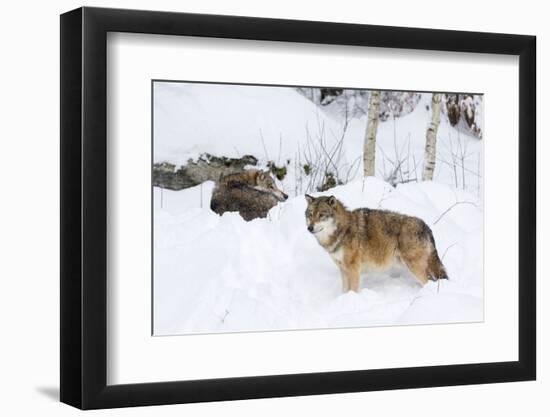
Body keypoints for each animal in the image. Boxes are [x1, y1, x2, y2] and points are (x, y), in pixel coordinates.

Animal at [306, 194, 448, 292]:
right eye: (310, 214)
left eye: (321, 215)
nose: (309, 228)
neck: (343, 230)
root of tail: (426, 226)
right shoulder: (343, 269)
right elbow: (344, 290)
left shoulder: (353, 269)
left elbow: (353, 290)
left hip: (414, 267)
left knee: (429, 281)